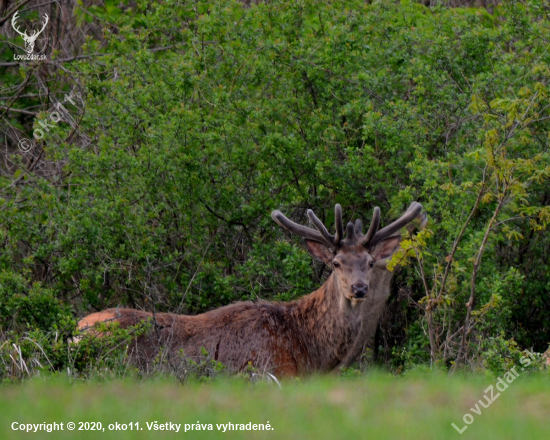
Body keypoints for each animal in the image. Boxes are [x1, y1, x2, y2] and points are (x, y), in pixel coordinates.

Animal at [77, 201, 426, 376]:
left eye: (370, 261)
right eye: (337, 262)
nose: (359, 288)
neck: (309, 351)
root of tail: (78, 329)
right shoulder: (270, 373)